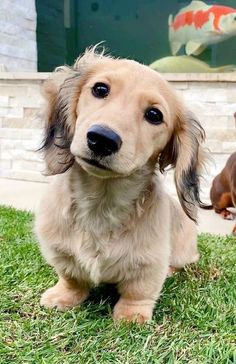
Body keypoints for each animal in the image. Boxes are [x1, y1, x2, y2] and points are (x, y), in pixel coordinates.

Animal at [36, 47, 206, 322]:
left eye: (154, 115)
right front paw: (63, 297)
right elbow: (71, 278)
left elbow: (138, 291)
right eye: (100, 89)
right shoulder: (60, 251)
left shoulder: (148, 264)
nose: (102, 139)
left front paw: (131, 317)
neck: (101, 203)